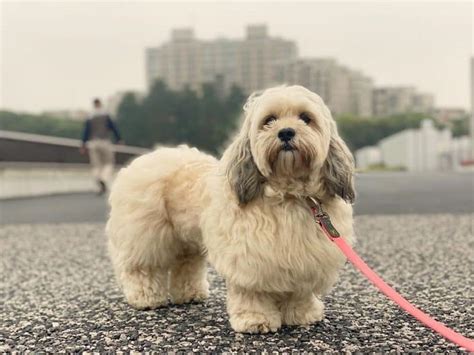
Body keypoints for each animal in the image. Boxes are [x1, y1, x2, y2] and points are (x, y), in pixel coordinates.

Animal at [105, 85, 354, 334]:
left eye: (305, 118)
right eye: (269, 120)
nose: (286, 132)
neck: (289, 195)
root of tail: (152, 156)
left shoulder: (304, 259)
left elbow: (299, 292)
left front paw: (301, 314)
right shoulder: (249, 259)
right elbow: (252, 293)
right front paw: (256, 319)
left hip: (186, 240)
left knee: (186, 265)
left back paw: (190, 293)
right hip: (146, 236)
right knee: (141, 269)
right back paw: (145, 297)